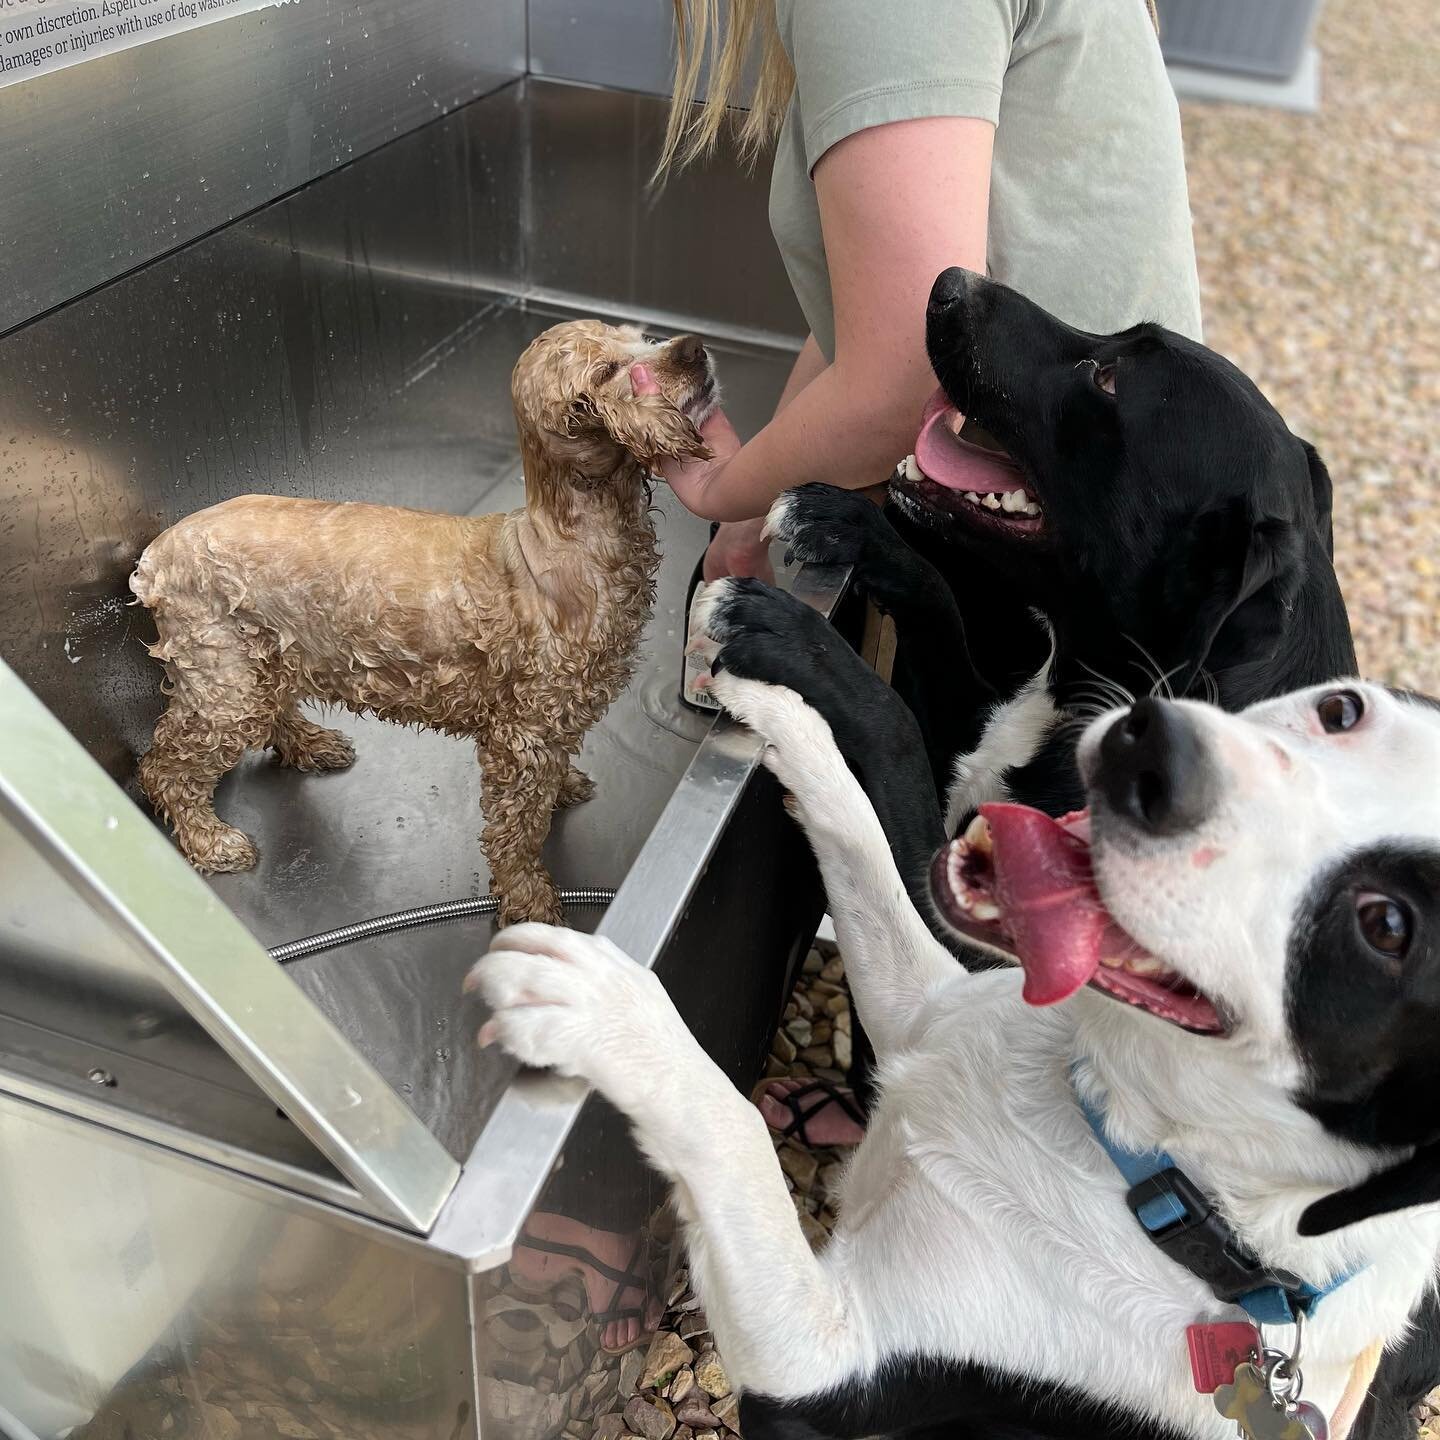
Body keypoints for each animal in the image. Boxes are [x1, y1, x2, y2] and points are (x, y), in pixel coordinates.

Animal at [132, 318, 717, 921]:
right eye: (607, 371)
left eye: (642, 338)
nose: (694, 348)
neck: (571, 539)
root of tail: (157, 552)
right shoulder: (520, 735)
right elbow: (516, 830)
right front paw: (528, 899)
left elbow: (548, 782)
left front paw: (562, 790)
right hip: (224, 683)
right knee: (162, 767)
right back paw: (210, 841)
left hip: (266, 653)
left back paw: (312, 745)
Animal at [472, 673, 1440, 1440]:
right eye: (1342, 708)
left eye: (1389, 926)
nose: (1155, 741)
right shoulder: (920, 1010)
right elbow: (859, 839)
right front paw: (786, 715)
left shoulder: (820, 1359)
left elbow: (732, 1126)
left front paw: (610, 1010)